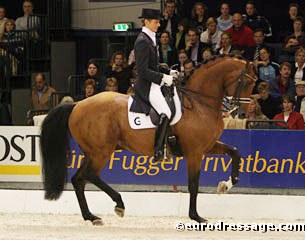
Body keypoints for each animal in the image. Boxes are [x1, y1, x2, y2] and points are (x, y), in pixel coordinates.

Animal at [39, 55, 255, 225]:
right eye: (246, 83)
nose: (243, 113)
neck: (199, 104)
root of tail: (77, 104)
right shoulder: (195, 152)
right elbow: (193, 184)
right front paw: (196, 216)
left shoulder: (207, 146)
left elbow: (235, 152)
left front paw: (226, 185)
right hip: (101, 151)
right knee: (90, 175)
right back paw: (119, 204)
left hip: (92, 151)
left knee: (79, 179)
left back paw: (91, 217)